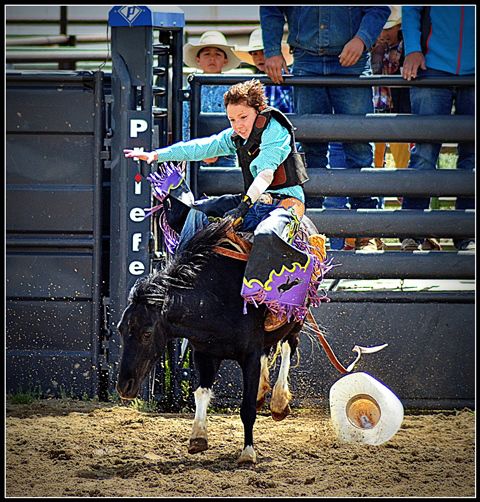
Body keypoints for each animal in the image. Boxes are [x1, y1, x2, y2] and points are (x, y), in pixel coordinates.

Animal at [116, 220, 318, 466]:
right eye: (121, 330)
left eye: (146, 334)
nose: (124, 386)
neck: (213, 299)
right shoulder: (204, 354)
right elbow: (201, 393)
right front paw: (198, 437)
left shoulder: (249, 356)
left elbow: (247, 408)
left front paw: (248, 453)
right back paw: (262, 391)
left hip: (297, 318)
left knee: (289, 346)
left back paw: (278, 402)